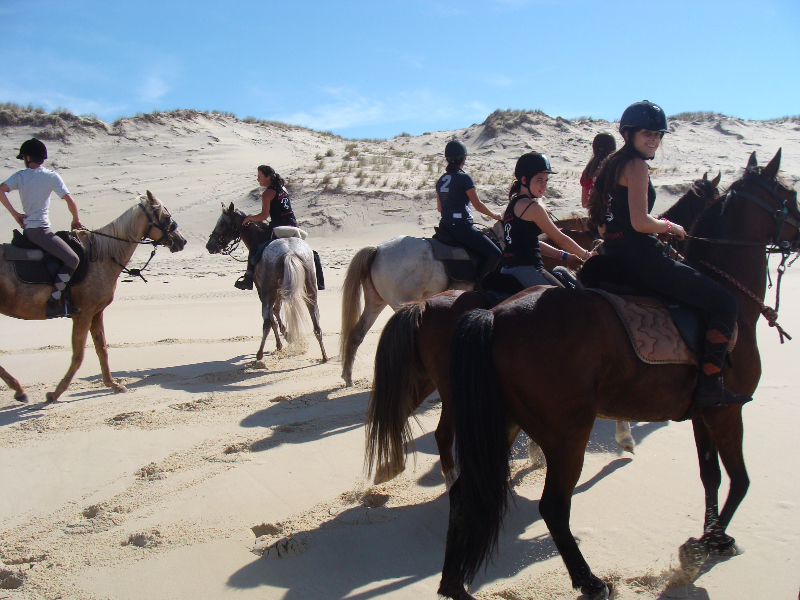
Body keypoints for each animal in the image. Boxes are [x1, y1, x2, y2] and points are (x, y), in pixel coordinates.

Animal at [0, 191, 186, 404]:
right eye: (167, 217)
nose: (181, 241)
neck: (103, 255)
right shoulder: (83, 314)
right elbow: (79, 354)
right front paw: (56, 392)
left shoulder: (96, 313)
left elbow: (102, 348)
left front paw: (112, 384)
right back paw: (19, 389)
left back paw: (18, 389)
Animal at [206, 203, 327, 362]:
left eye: (222, 223)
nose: (210, 245)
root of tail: (289, 252)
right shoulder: (281, 290)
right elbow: (276, 311)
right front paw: (287, 335)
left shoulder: (262, 289)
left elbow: (272, 317)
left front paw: (281, 342)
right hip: (310, 288)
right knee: (316, 322)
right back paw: (324, 356)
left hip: (267, 292)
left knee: (267, 321)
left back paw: (259, 354)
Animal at [365, 173, 722, 488]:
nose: (683, 249)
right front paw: (624, 437)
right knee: (438, 431)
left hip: (422, 369)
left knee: (396, 407)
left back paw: (388, 466)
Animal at [437, 150, 799, 600]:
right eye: (791, 195)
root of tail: (494, 315)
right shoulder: (728, 412)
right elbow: (741, 480)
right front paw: (713, 541)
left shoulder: (702, 413)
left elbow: (711, 475)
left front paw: (708, 536)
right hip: (568, 432)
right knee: (553, 507)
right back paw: (589, 580)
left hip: (503, 422)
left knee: (464, 493)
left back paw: (454, 582)